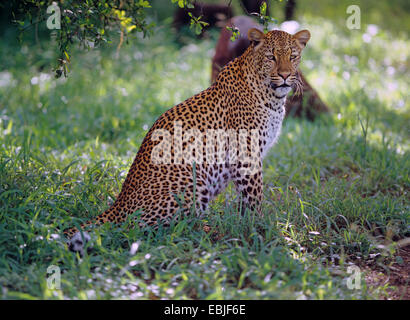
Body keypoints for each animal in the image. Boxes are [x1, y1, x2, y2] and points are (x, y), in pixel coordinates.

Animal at [65, 27, 310, 254]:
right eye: (271, 57)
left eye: (293, 56)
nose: (286, 75)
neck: (273, 97)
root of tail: (118, 205)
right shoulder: (246, 154)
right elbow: (254, 197)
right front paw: (261, 228)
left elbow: (246, 200)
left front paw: (248, 226)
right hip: (192, 183)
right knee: (144, 230)